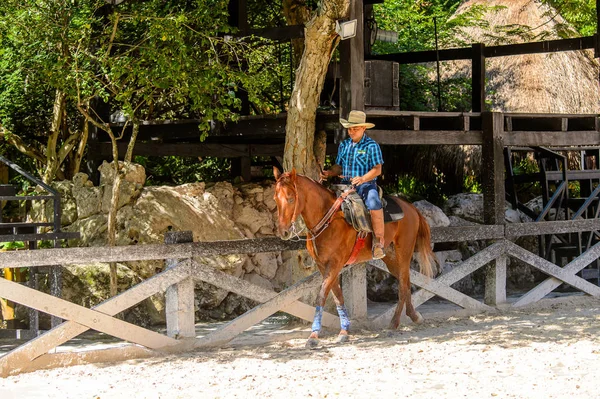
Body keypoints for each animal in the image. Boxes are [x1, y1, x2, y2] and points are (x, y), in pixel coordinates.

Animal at [274, 167, 436, 348]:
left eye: (290, 198)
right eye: (275, 198)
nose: (283, 232)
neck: (328, 219)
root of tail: (410, 207)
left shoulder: (335, 264)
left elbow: (321, 296)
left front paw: (314, 335)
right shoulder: (323, 266)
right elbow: (337, 296)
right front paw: (344, 331)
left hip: (404, 252)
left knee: (402, 285)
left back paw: (394, 323)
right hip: (391, 259)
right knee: (406, 282)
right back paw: (414, 316)